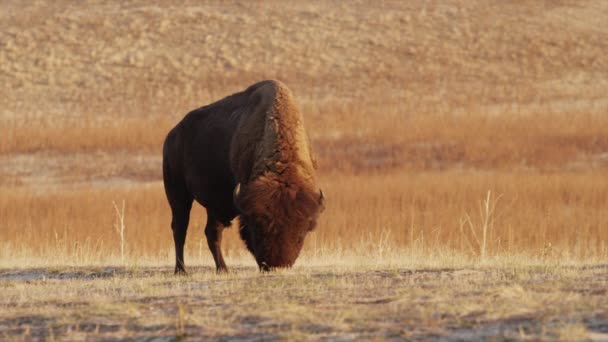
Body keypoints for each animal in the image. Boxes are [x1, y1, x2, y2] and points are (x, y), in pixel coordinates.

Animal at [162, 79, 324, 274]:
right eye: (257, 229)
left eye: (301, 233)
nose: (275, 265)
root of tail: (172, 135)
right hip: (178, 194)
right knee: (180, 228)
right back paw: (183, 270)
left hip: (213, 204)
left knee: (211, 233)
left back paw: (222, 269)